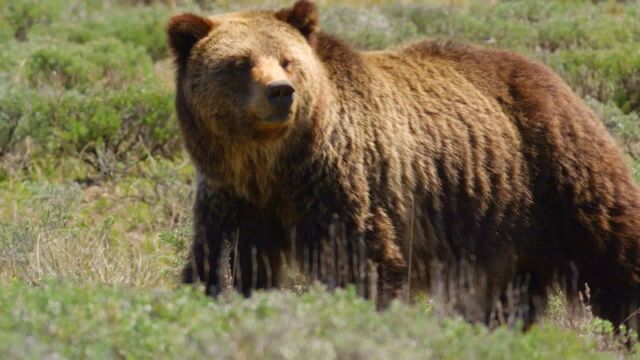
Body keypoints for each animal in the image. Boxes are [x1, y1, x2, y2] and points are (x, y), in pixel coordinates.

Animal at [169, 0, 640, 332]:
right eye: (240, 63)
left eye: (288, 59)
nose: (281, 92)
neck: (274, 165)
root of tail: (546, 72)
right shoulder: (233, 196)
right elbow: (226, 263)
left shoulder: (341, 185)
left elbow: (361, 262)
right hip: (503, 225)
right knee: (504, 295)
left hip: (556, 169)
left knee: (613, 250)